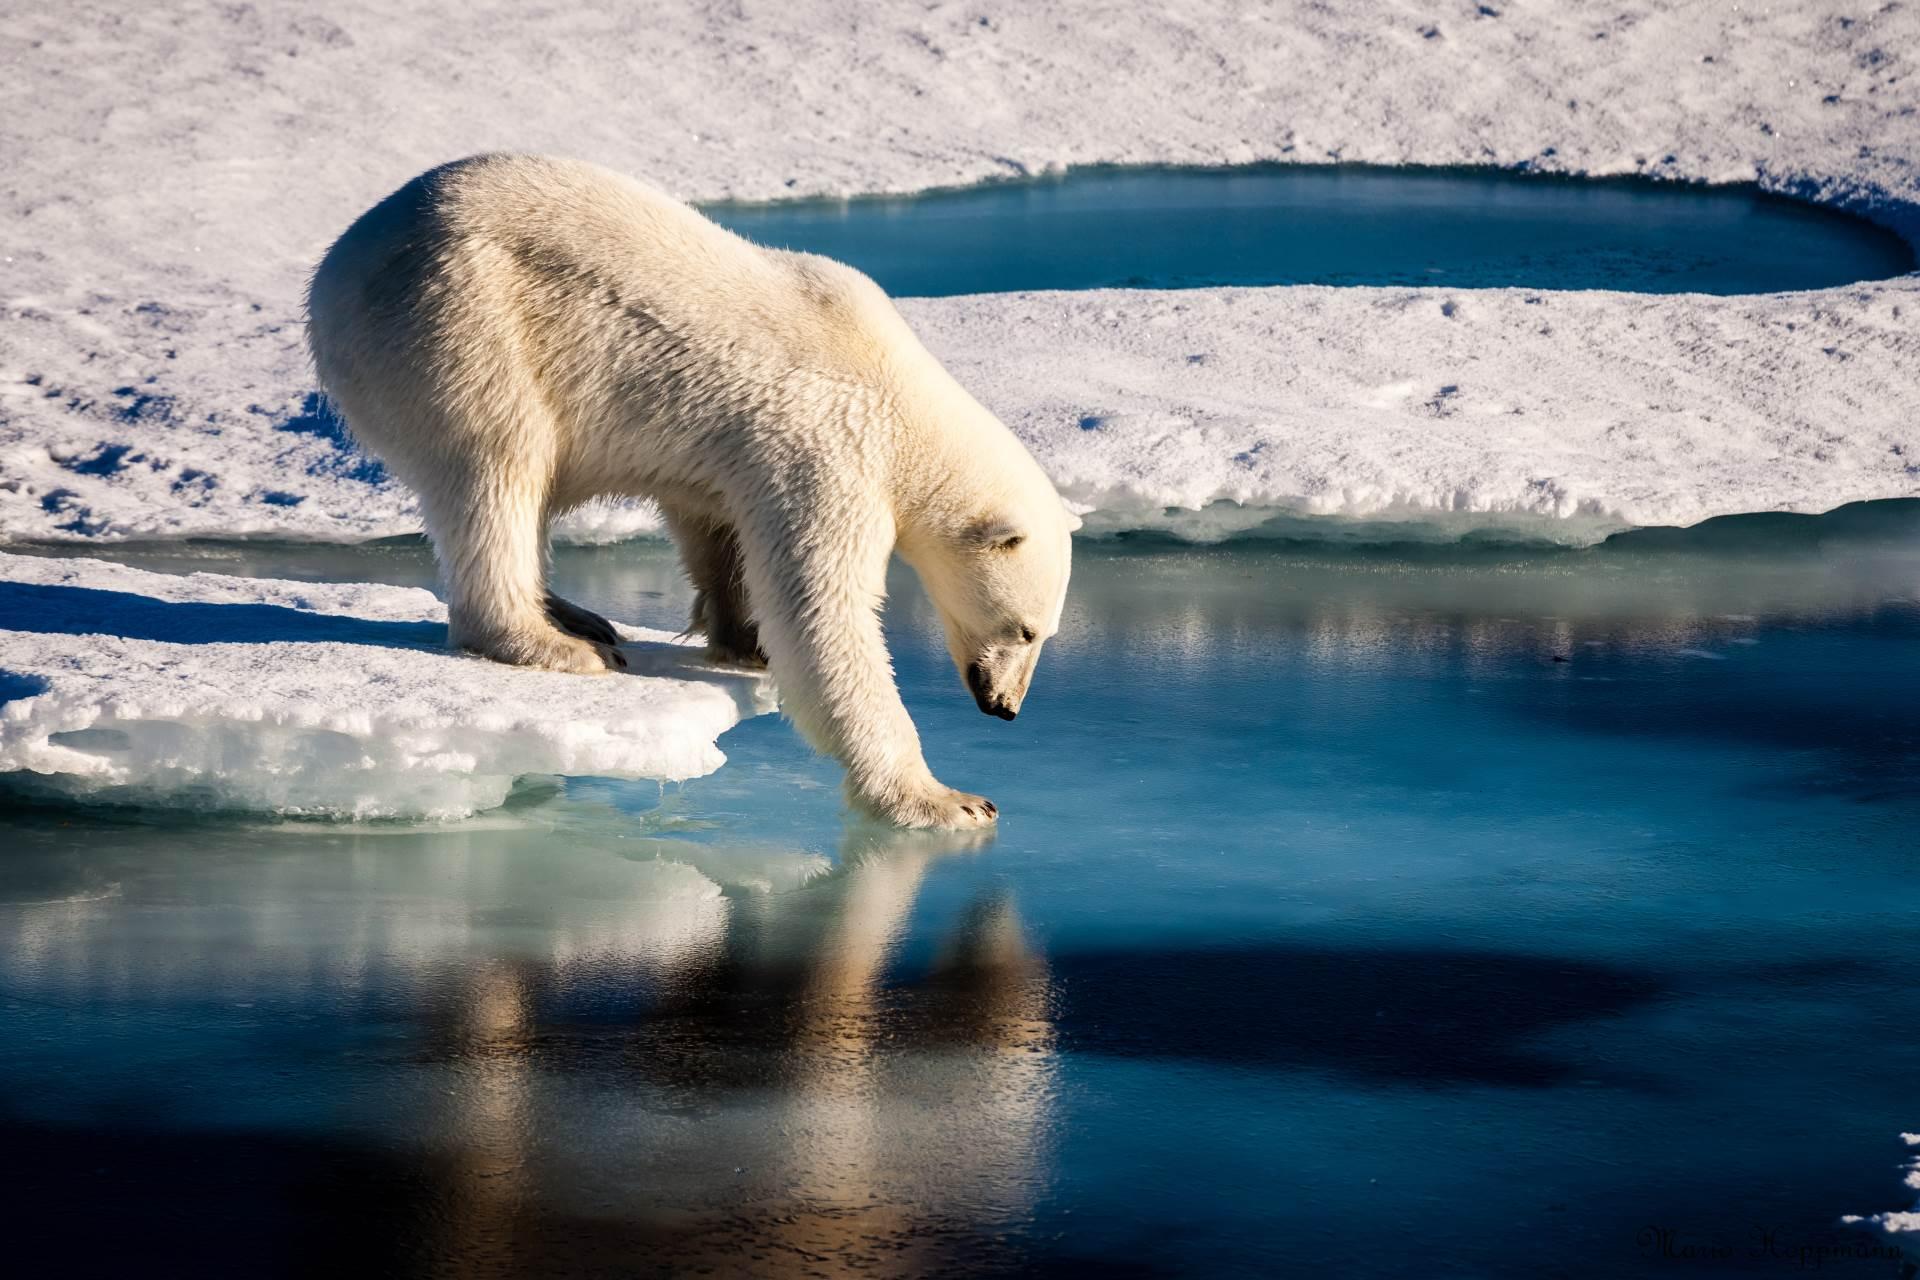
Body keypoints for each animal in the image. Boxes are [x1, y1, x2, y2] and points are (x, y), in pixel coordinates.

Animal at [307, 152, 1075, 832]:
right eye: (1025, 629)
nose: (1005, 706)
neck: (901, 397)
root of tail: (335, 268)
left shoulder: (739, 454)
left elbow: (717, 528)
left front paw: (743, 639)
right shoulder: (830, 449)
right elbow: (823, 613)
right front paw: (947, 800)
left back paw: (576, 614)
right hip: (460, 321)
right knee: (498, 466)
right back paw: (555, 642)